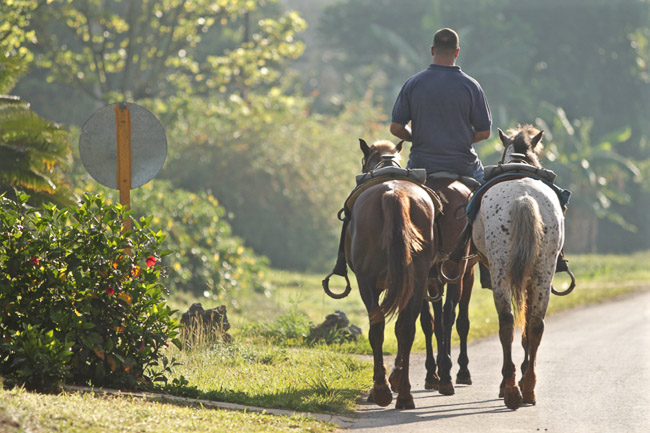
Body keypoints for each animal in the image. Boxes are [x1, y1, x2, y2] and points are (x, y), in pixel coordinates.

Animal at [420, 176, 476, 394]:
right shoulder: (467, 275)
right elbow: (462, 322)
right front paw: (462, 370)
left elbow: (433, 322)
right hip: (456, 273)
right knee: (449, 316)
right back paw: (446, 375)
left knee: (429, 321)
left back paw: (433, 374)